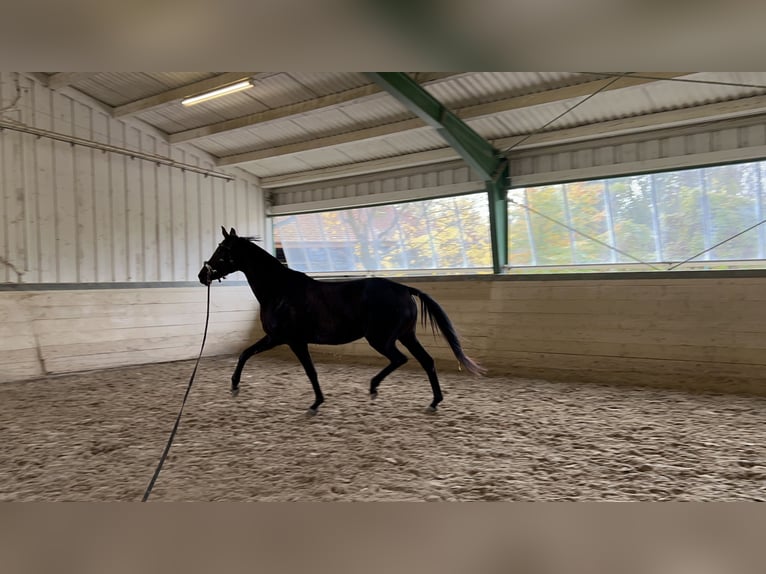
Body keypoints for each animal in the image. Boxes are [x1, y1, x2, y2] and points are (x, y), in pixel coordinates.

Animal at [198, 226, 485, 414]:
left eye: (221, 250)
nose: (203, 275)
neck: (279, 289)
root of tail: (404, 289)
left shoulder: (286, 339)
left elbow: (305, 369)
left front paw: (316, 403)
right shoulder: (283, 339)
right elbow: (247, 354)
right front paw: (235, 385)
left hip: (382, 339)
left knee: (400, 359)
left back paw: (374, 387)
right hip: (406, 335)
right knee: (426, 361)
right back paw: (434, 401)